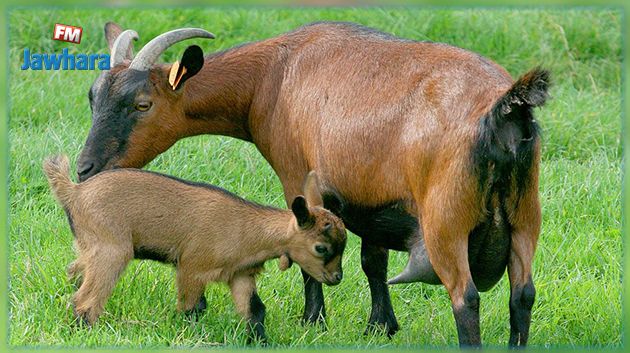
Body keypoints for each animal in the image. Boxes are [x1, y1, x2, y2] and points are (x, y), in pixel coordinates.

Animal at [76, 22, 552, 346]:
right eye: (92, 97)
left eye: (142, 104)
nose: (85, 168)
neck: (273, 75)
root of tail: (506, 110)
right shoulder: (371, 198)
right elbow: (373, 263)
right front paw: (380, 326)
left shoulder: (297, 174)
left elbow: (306, 246)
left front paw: (312, 321)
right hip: (526, 215)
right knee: (522, 294)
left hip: (446, 220)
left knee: (466, 297)